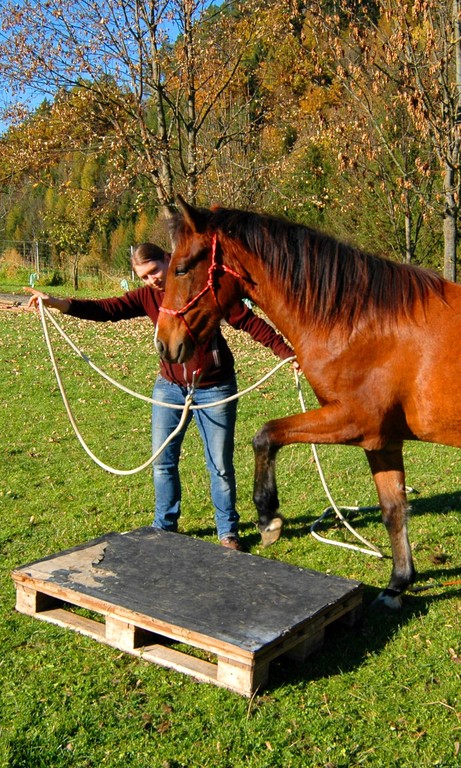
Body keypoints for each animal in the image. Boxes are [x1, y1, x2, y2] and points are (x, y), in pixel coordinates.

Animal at [155, 195, 460, 608]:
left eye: (183, 268)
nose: (164, 344)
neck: (364, 321)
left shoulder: (353, 422)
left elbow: (266, 435)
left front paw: (268, 516)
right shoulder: (382, 441)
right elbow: (393, 510)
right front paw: (398, 583)